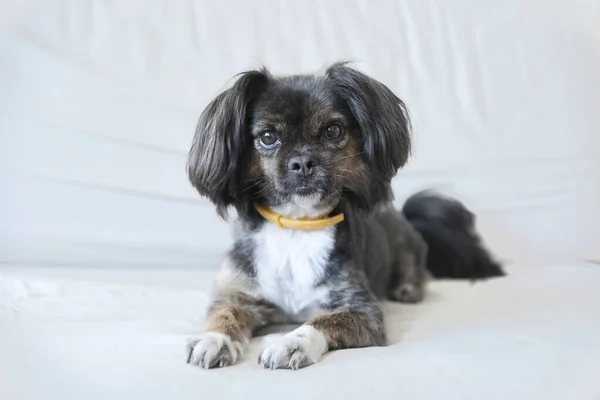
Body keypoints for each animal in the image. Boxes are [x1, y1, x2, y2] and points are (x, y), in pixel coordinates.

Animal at [184, 61, 502, 370]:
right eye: (267, 136)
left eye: (333, 130)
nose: (303, 161)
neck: (298, 226)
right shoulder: (238, 292)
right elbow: (223, 313)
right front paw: (214, 339)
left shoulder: (364, 311)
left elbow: (321, 321)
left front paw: (291, 343)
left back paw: (408, 288)